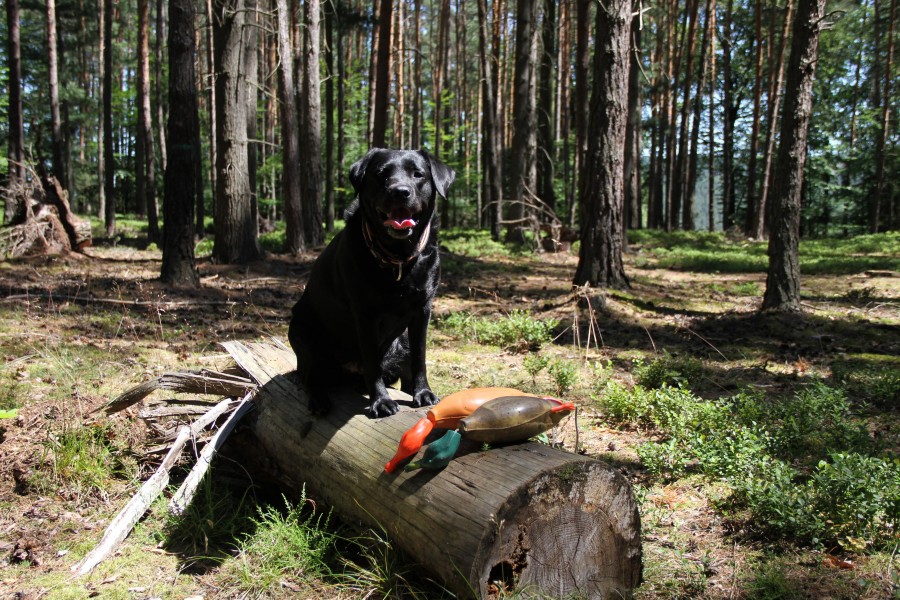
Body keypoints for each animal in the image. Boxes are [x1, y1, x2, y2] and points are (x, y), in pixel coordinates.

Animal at [289, 148, 455, 418]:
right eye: (381, 174)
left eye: (418, 174)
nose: (400, 191)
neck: (398, 258)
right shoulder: (365, 315)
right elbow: (371, 362)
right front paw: (381, 401)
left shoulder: (422, 310)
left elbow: (420, 356)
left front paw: (423, 393)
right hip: (303, 333)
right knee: (312, 376)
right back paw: (320, 400)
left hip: (402, 344)